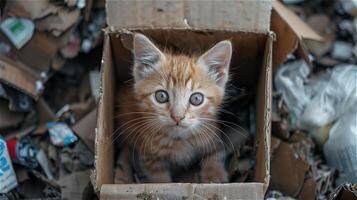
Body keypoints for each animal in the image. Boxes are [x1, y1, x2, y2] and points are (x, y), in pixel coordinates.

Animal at [115, 33, 232, 183]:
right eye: (161, 96)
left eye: (196, 99)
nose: (177, 117)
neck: (179, 140)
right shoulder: (147, 156)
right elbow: (158, 179)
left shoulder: (212, 135)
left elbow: (215, 154)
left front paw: (214, 176)